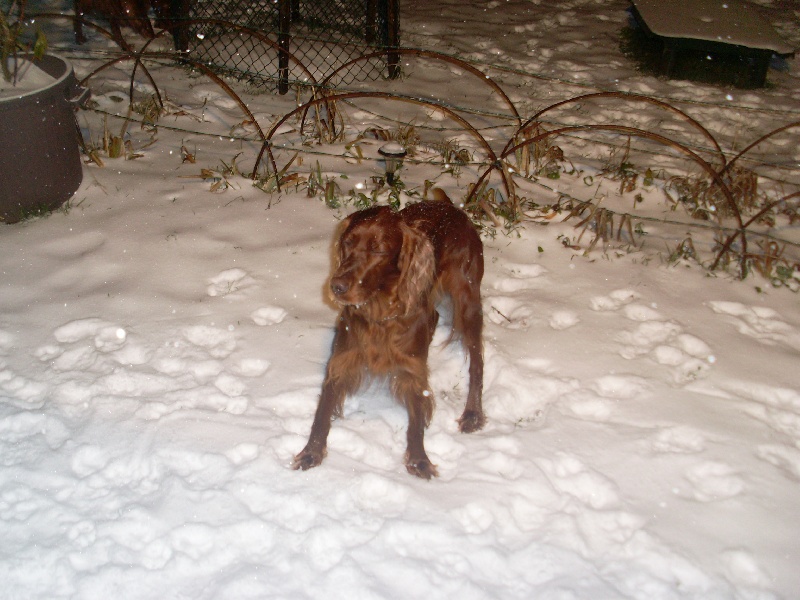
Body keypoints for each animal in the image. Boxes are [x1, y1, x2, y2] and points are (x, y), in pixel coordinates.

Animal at [292, 193, 484, 478]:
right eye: (347, 242)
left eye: (378, 250)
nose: (336, 286)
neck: (379, 313)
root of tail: (451, 206)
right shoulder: (341, 361)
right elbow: (322, 410)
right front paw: (311, 452)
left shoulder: (413, 370)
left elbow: (416, 418)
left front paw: (419, 459)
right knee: (436, 316)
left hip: (467, 298)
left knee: (477, 359)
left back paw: (473, 414)